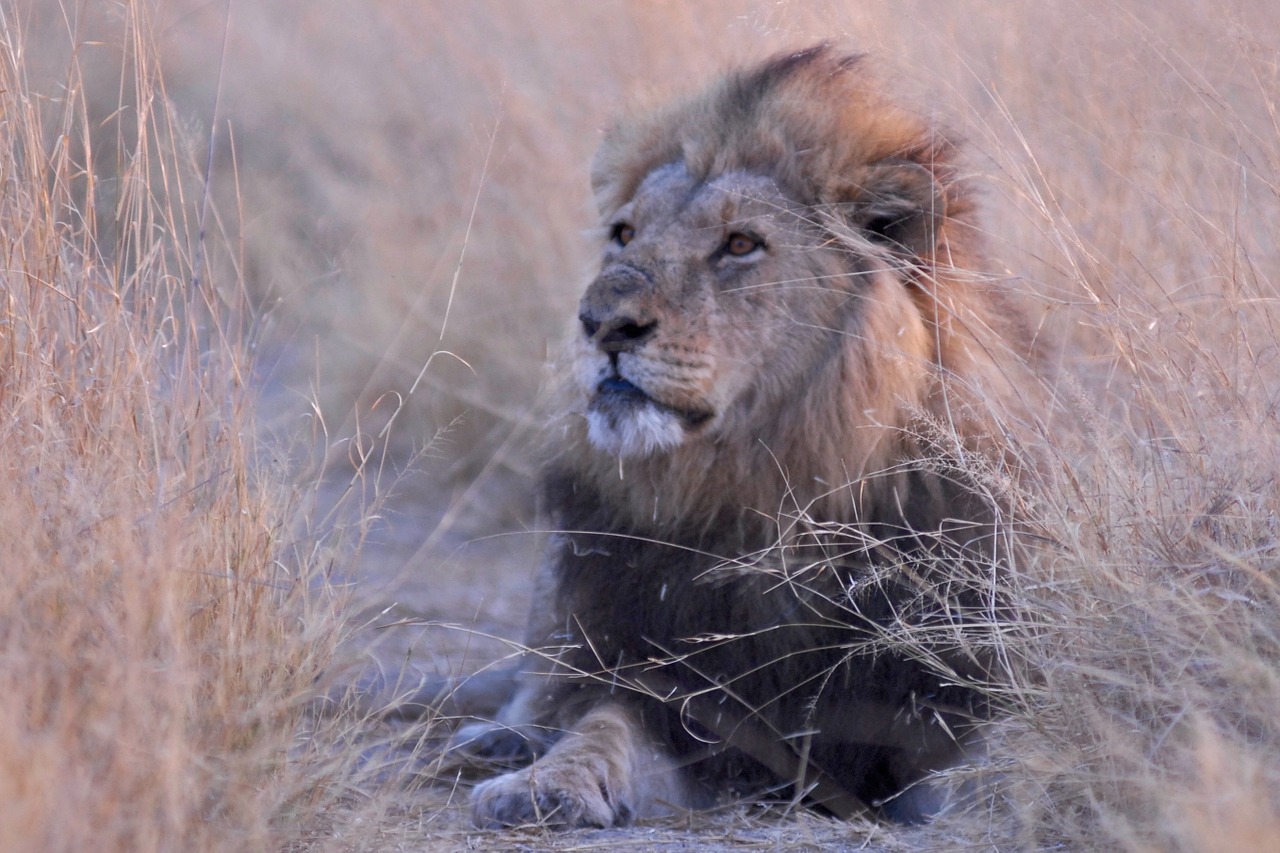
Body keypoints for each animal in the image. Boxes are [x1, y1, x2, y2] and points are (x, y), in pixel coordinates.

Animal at [465, 44, 1044, 824]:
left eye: (739, 244)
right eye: (624, 235)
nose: (600, 321)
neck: (772, 492)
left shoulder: (957, 688)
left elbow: (998, 759)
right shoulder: (670, 693)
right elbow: (600, 722)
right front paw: (543, 785)